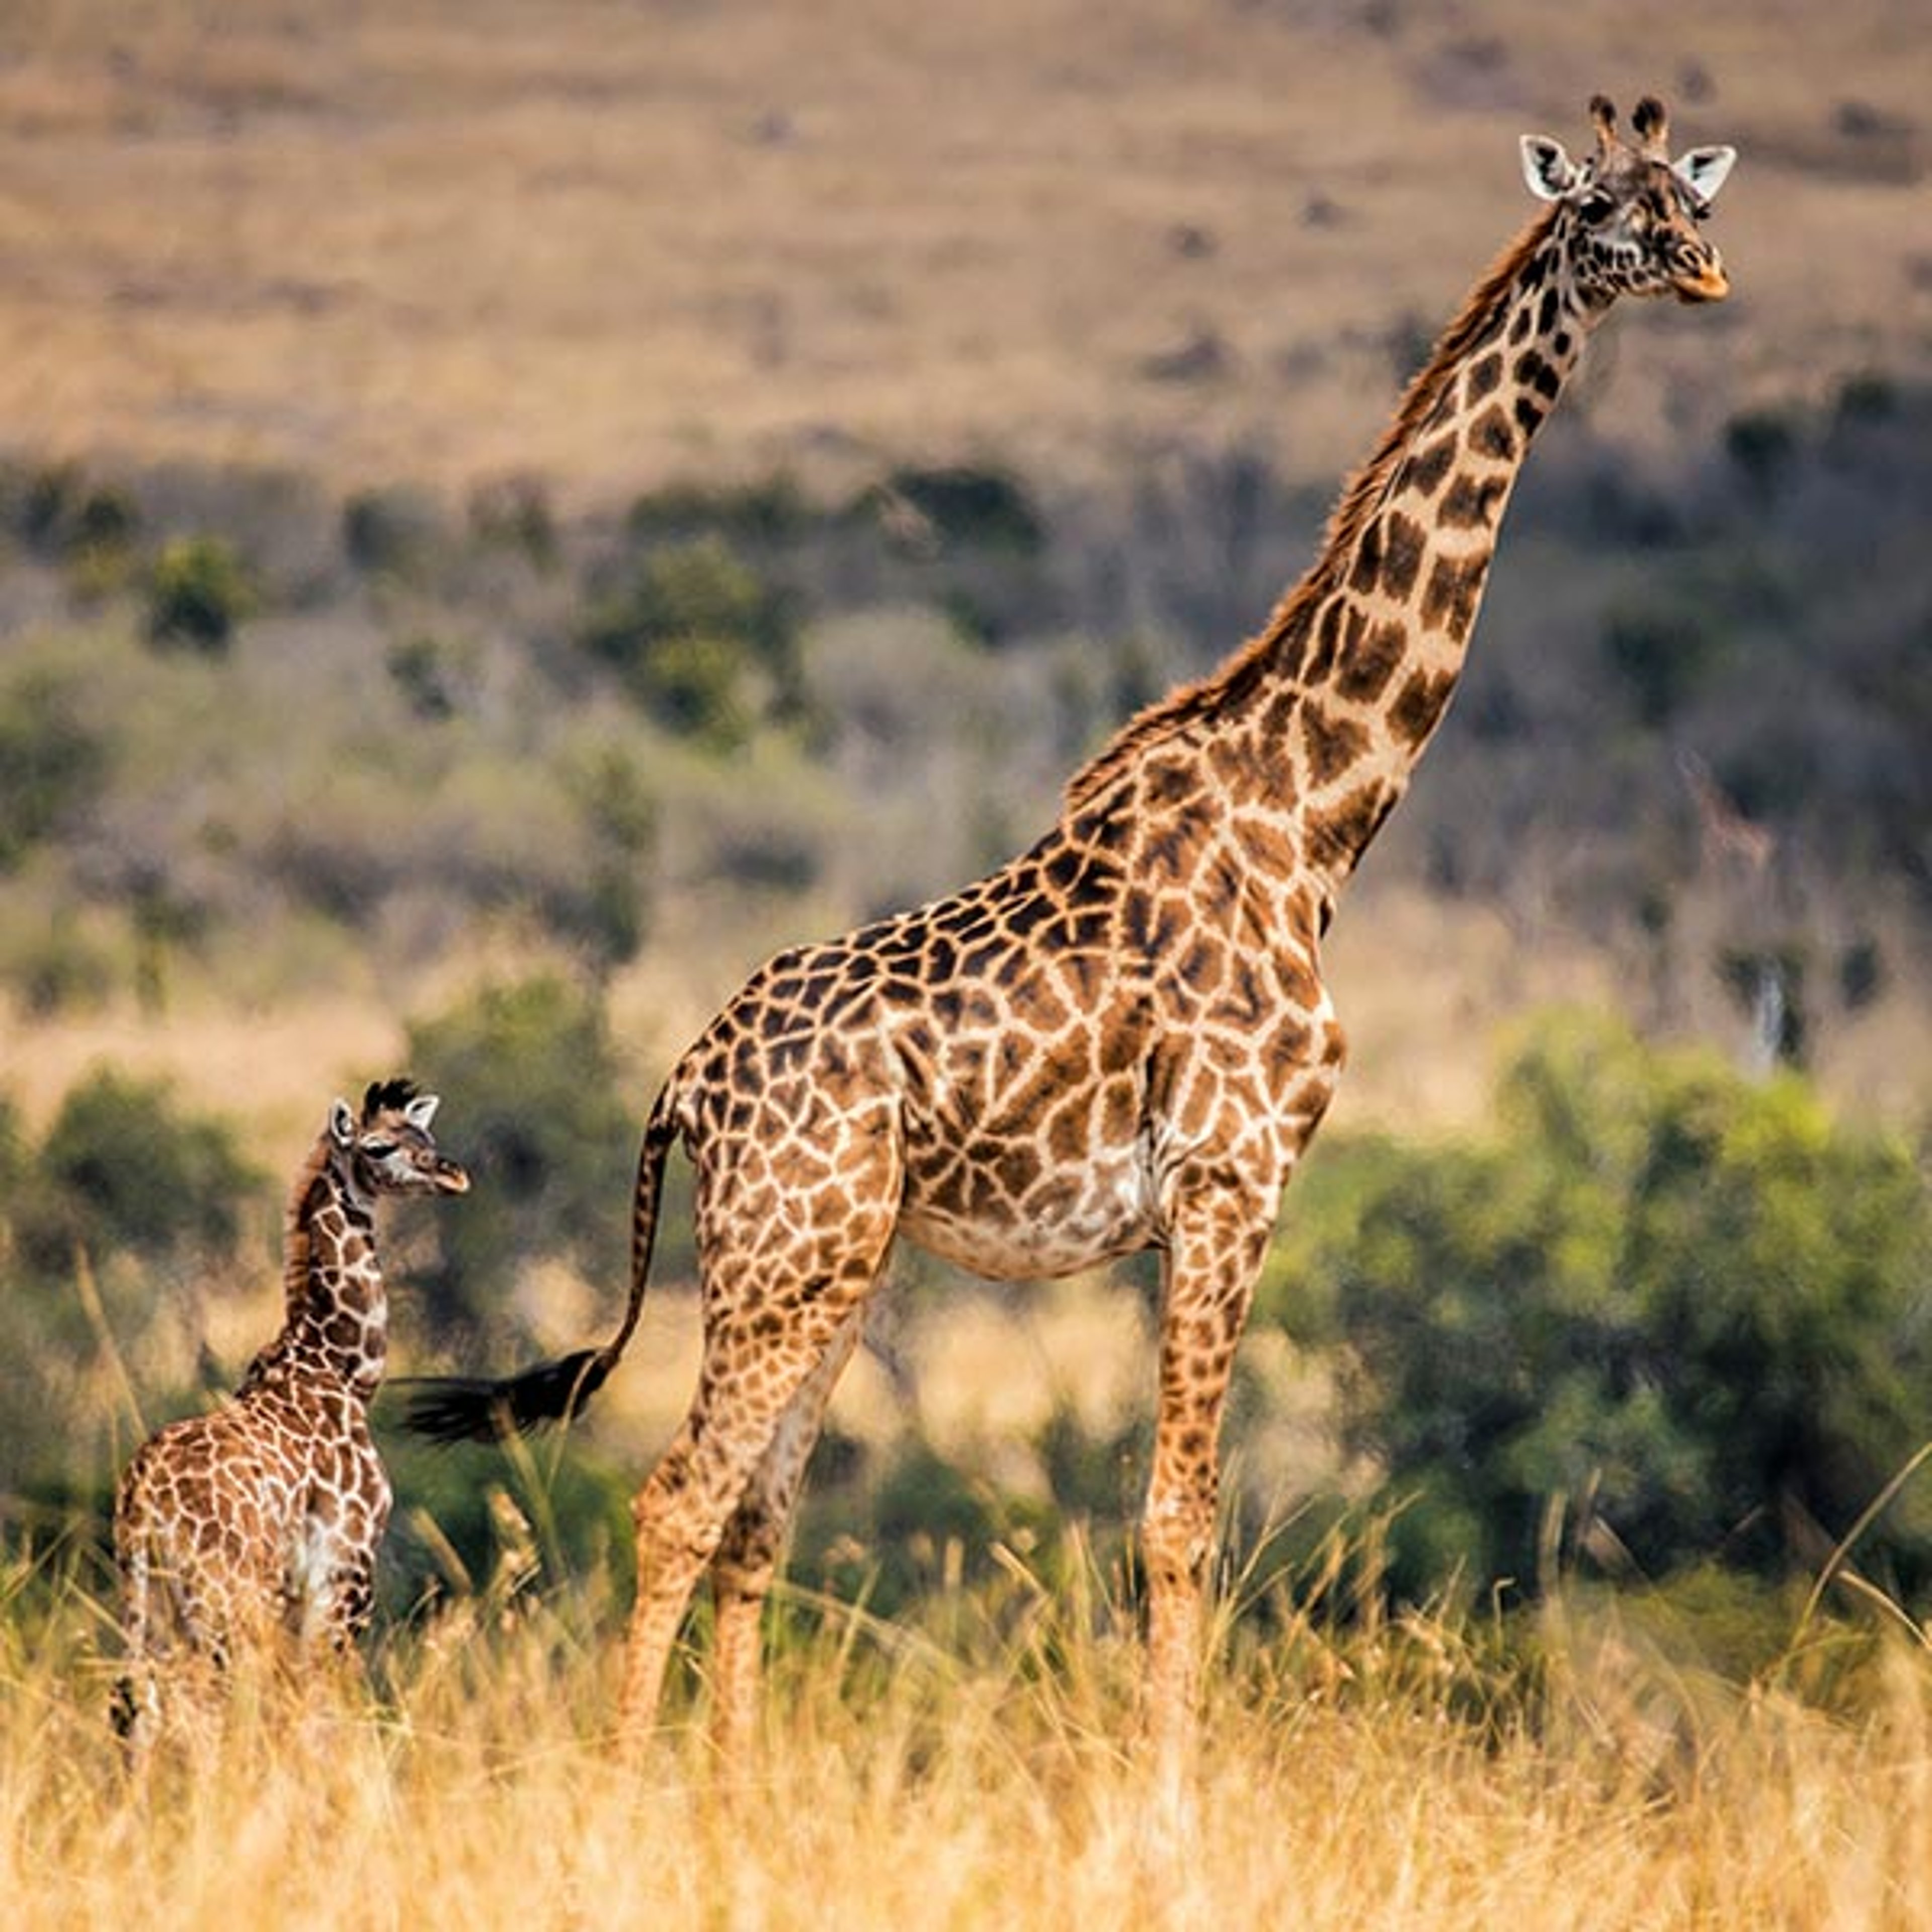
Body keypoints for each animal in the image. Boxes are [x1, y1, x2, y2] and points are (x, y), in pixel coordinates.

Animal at [113, 1078, 469, 1751]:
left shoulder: (301, 1588)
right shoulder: (345, 1565)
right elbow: (328, 1699)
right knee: (201, 1701)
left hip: (146, 1593)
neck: (341, 1371)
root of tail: (143, 1497)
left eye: (426, 1133)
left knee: (135, 1699)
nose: (453, 1174)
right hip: (224, 1596)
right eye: (379, 1147)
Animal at [407, 95, 1736, 1779]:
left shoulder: (1205, 1200)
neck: (1313, 813)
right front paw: (1172, 1799)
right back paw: (633, 1790)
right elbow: (1177, 1519)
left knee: (757, 1519)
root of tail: (681, 1085)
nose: (1703, 270)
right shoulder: (1232, 1180)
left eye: (1686, 196)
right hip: (787, 1256)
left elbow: (1167, 1515)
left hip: (829, 1264)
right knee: (680, 1500)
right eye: (1604, 213)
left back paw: (732, 1794)